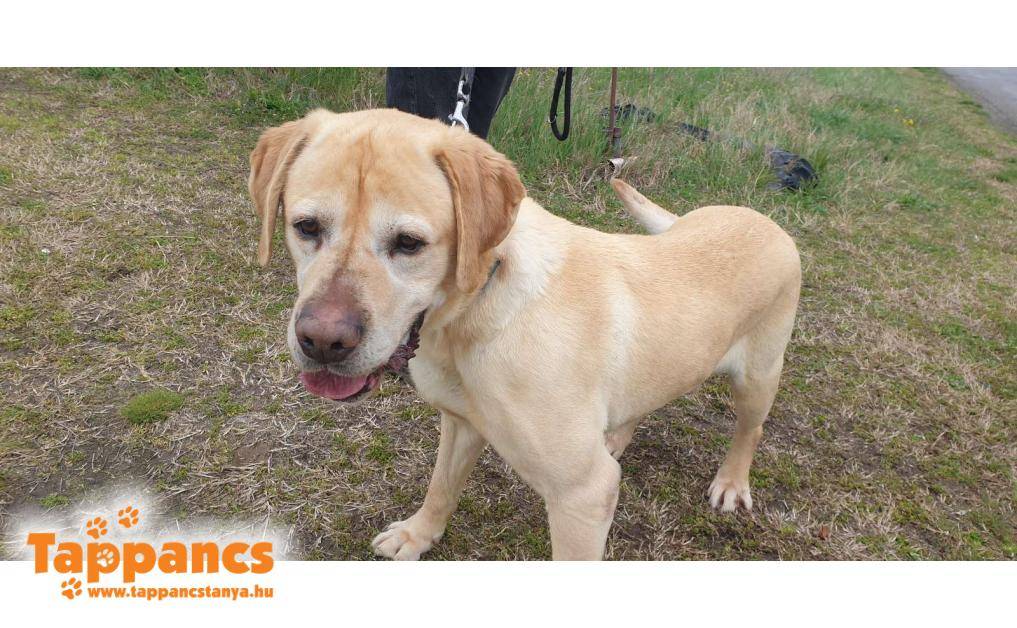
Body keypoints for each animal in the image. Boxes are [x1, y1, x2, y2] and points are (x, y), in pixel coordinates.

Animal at [248, 108, 801, 560]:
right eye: (306, 226)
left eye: (408, 243)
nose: (322, 342)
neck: (475, 314)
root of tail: (760, 218)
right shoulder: (461, 424)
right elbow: (440, 488)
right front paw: (417, 536)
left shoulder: (583, 494)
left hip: (758, 379)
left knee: (749, 431)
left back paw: (731, 482)